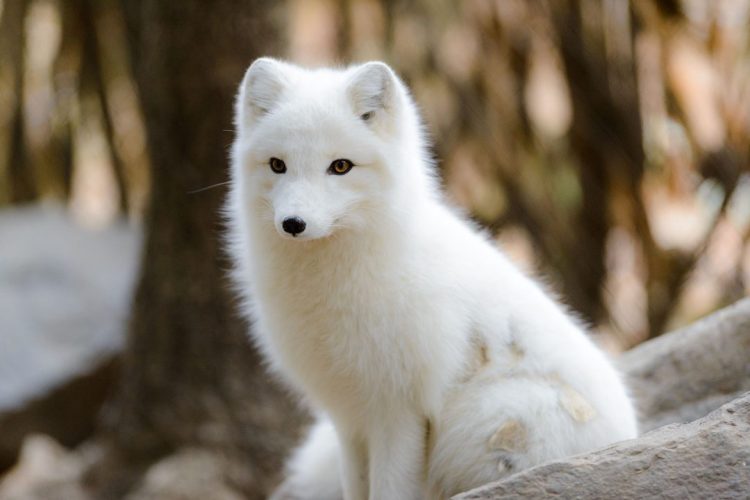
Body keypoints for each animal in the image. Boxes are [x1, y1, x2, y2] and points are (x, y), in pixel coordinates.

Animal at [226, 58, 638, 500]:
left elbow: (389, 490)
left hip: (485, 419)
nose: (293, 224)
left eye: (340, 166)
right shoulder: (348, 415)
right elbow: (356, 487)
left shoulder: (399, 409)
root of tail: (629, 433)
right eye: (277, 164)